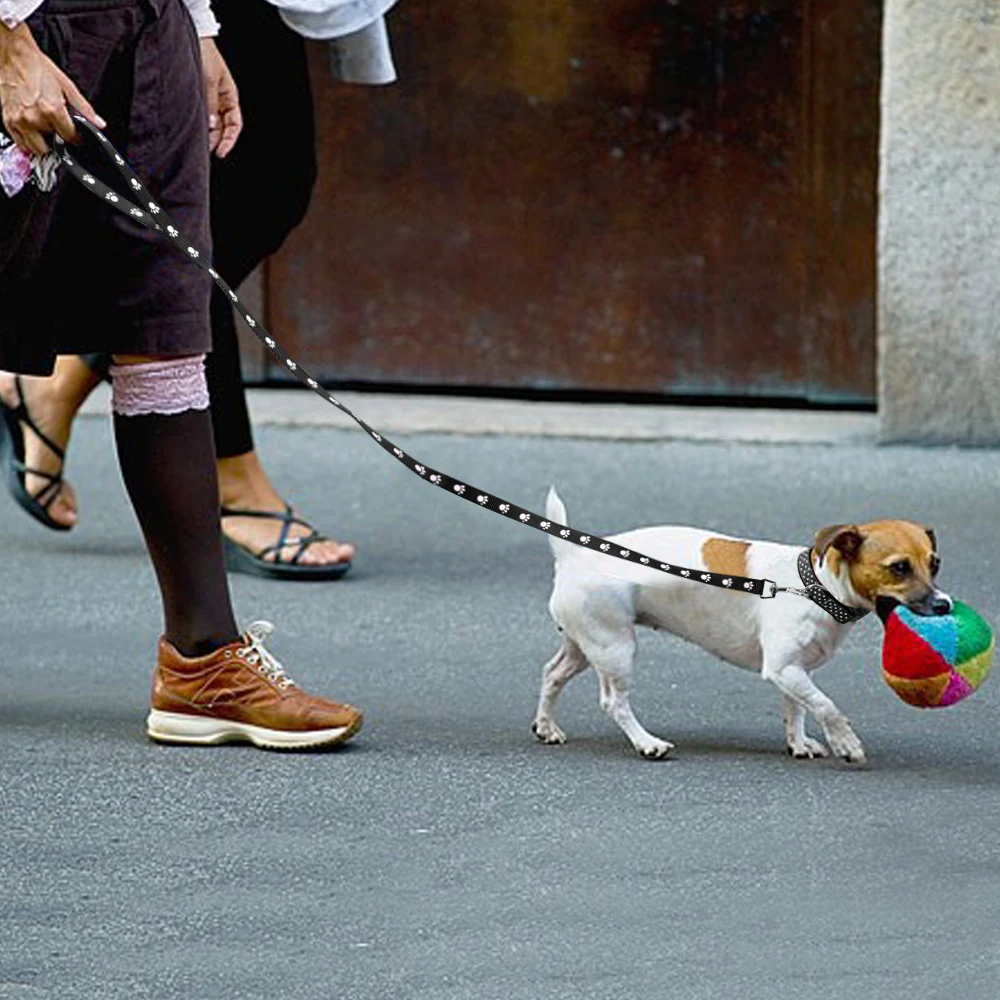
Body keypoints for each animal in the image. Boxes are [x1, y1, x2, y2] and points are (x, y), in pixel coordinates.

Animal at [536, 492, 948, 764]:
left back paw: (546, 727)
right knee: (613, 702)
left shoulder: (793, 670)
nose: (944, 604)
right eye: (898, 568)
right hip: (615, 649)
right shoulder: (784, 669)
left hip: (585, 646)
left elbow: (797, 708)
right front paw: (846, 742)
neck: (816, 587)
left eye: (935, 564)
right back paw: (646, 743)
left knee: (552, 673)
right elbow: (826, 706)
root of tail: (572, 555)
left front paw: (799, 743)